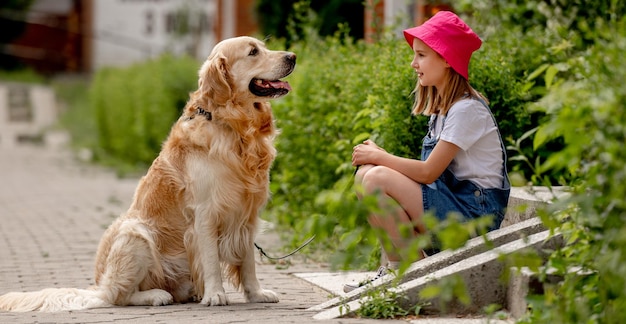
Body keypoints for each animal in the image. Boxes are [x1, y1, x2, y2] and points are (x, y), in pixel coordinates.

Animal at [0, 35, 296, 312]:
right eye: (253, 52)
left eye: (263, 47)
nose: (292, 56)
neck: (233, 128)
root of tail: (97, 286)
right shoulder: (205, 213)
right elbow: (211, 261)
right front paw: (215, 294)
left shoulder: (247, 215)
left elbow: (248, 264)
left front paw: (257, 294)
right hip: (136, 234)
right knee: (117, 296)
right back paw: (156, 296)